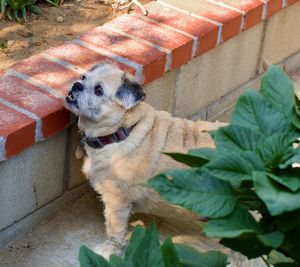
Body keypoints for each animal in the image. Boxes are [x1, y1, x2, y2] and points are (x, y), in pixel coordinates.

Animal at [64, 62, 224, 260]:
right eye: (83, 78)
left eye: (99, 90)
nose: (77, 85)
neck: (121, 132)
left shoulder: (117, 201)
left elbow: (114, 230)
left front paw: (109, 251)